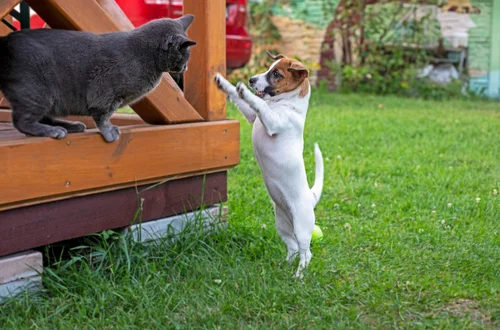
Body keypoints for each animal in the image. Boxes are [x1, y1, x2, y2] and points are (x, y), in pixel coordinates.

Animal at [0, 15, 197, 142]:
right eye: (185, 55)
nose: (186, 67)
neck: (144, 56)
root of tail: (6, 40)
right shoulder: (105, 94)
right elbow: (103, 116)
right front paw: (109, 132)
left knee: (42, 117)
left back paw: (71, 126)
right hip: (38, 93)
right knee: (22, 121)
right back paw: (53, 131)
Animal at [214, 51, 324, 278]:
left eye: (276, 74)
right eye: (268, 68)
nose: (250, 80)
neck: (285, 105)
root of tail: (311, 196)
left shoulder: (273, 121)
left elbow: (259, 103)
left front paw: (245, 91)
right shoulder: (252, 116)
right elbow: (241, 98)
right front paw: (225, 84)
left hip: (302, 226)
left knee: (306, 252)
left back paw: (299, 275)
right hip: (282, 224)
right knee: (292, 247)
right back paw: (284, 264)